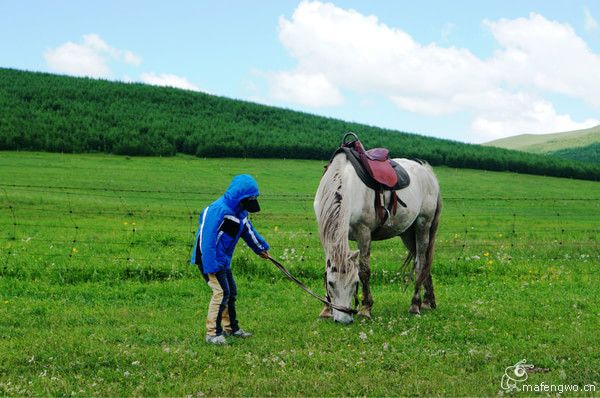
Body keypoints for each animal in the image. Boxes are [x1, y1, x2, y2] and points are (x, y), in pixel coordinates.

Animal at [314, 151, 440, 322]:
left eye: (355, 283)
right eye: (331, 283)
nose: (344, 320)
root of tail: (426, 170)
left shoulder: (364, 233)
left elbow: (364, 271)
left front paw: (365, 309)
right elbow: (327, 269)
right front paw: (326, 309)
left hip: (423, 225)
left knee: (420, 262)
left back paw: (415, 305)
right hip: (408, 233)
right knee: (424, 261)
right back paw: (427, 301)